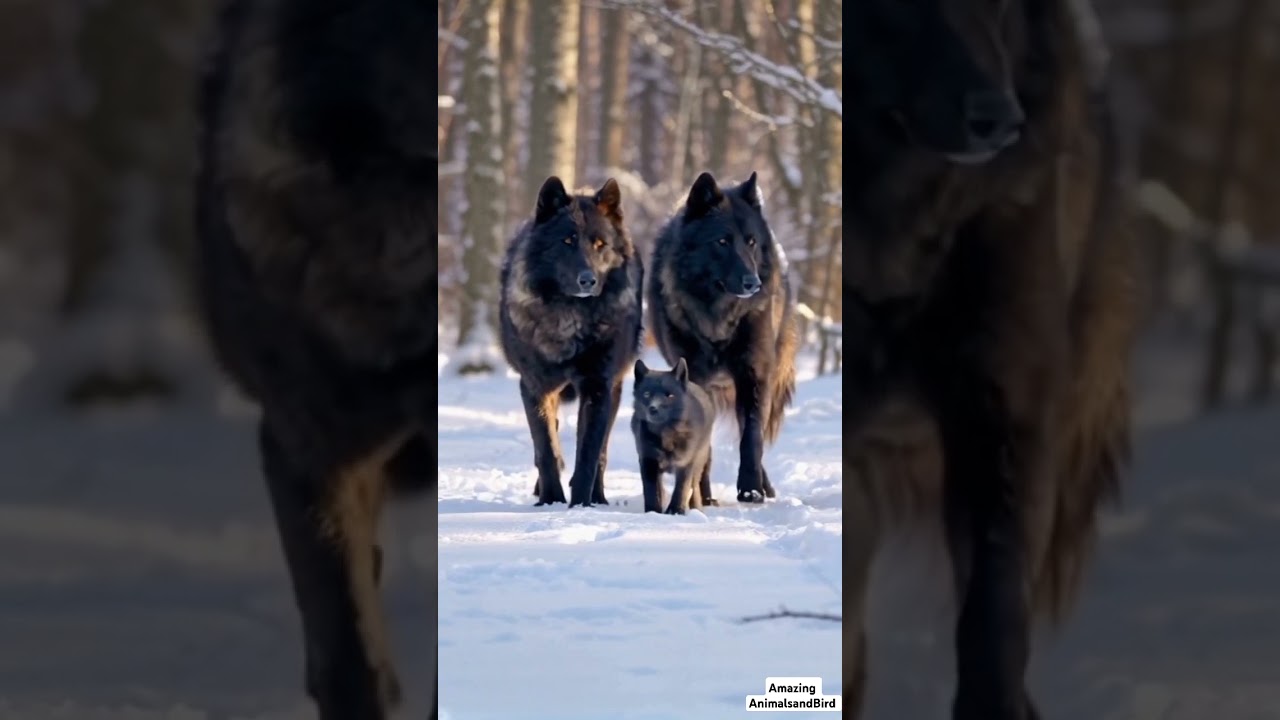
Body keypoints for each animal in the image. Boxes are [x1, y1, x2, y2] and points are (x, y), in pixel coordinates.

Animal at [498, 176, 644, 508]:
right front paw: (551, 500)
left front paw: (580, 505)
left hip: (614, 392)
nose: (587, 280)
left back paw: (598, 497)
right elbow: (546, 450)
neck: (570, 318)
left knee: (601, 451)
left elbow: (588, 454)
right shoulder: (535, 388)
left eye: (600, 244)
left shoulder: (598, 388)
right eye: (567, 241)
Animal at [631, 358, 716, 515]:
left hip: (699, 463)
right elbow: (651, 491)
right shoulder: (648, 462)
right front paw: (653, 512)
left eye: (669, 395)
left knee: (694, 488)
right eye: (647, 394)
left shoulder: (685, 463)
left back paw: (696, 510)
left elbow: (681, 489)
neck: (665, 437)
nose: (653, 409)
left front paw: (675, 511)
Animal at [646, 171, 799, 505]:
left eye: (751, 242)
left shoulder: (754, 375)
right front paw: (698, 496)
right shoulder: (694, 379)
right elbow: (703, 448)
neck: (718, 319)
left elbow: (751, 439)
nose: (753, 283)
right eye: (722, 241)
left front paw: (751, 489)